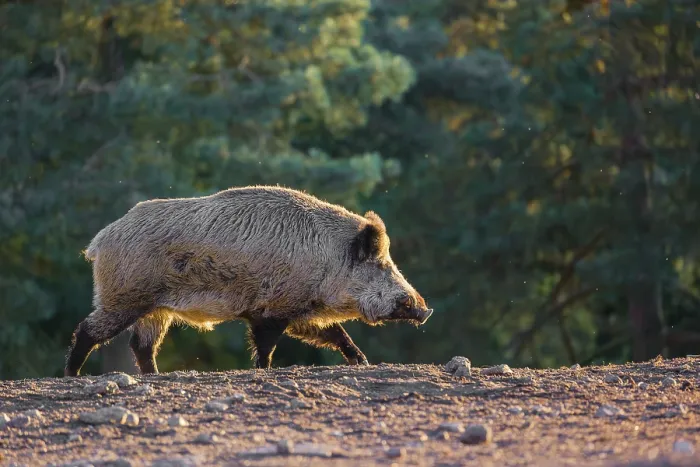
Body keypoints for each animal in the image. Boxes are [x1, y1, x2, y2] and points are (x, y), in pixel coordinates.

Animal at [64, 185, 433, 376]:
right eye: (381, 264)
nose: (425, 310)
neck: (328, 258)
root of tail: (100, 241)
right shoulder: (273, 309)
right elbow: (267, 344)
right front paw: (262, 370)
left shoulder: (299, 310)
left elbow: (334, 333)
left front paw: (362, 362)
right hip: (125, 297)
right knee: (89, 330)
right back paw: (72, 374)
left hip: (156, 309)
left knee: (141, 345)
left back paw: (154, 376)